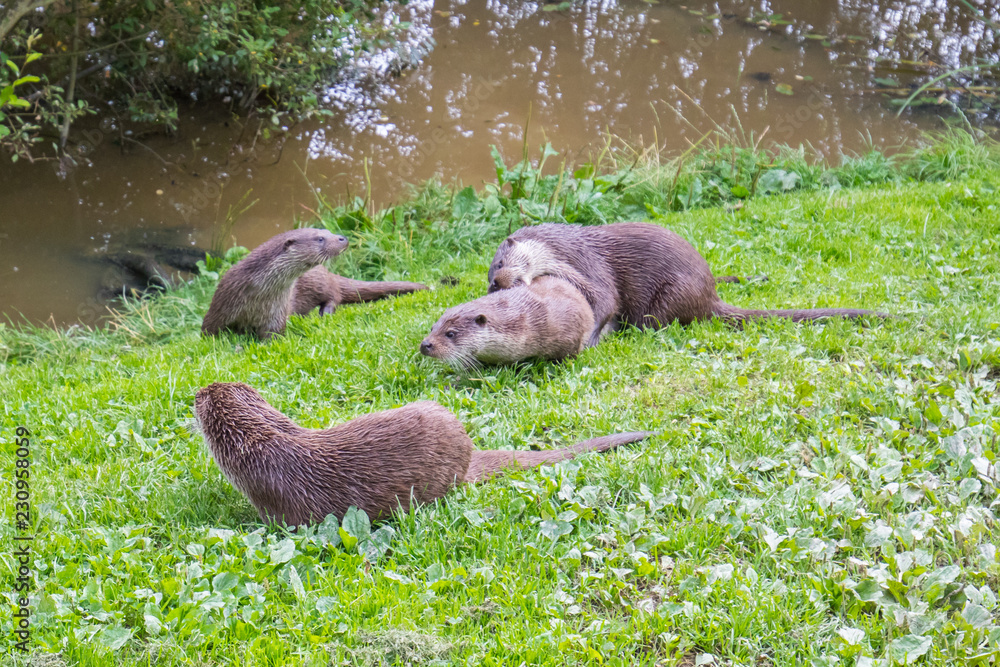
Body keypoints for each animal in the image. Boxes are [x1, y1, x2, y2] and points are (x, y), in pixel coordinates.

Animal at [201, 229, 427, 340]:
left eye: (328, 231)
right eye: (319, 238)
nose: (343, 238)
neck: (258, 295)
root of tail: (330, 273)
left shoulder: (277, 312)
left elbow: (273, 335)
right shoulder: (221, 305)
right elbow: (208, 330)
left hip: (318, 282)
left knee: (334, 296)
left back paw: (324, 313)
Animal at [487, 222, 887, 346]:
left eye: (499, 267)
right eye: (492, 285)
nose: (500, 283)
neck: (561, 251)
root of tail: (709, 295)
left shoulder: (589, 266)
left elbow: (606, 301)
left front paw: (593, 339)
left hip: (669, 295)